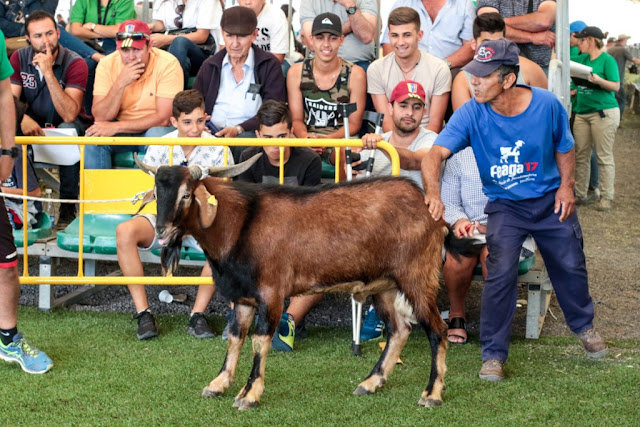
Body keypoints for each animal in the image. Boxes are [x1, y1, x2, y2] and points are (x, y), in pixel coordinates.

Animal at [135, 154, 448, 412]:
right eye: (156, 194)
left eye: (186, 194)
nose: (162, 232)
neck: (241, 224)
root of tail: (428, 205)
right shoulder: (243, 296)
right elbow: (236, 336)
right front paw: (218, 383)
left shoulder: (272, 293)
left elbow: (260, 340)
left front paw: (249, 394)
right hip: (384, 286)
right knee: (399, 330)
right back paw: (371, 382)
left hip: (417, 277)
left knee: (437, 330)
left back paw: (432, 393)